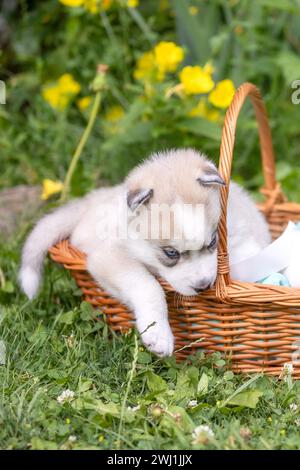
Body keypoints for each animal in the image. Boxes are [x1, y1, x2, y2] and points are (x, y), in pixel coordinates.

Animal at [19, 150, 270, 356]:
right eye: (171, 253)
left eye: (212, 242)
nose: (203, 286)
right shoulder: (110, 257)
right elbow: (149, 286)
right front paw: (158, 335)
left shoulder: (239, 235)